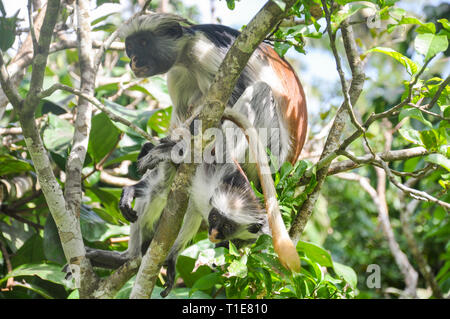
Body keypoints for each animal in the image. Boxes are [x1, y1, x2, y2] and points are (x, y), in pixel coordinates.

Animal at [86, 12, 308, 298]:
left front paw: (167, 150)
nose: (134, 61)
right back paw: (128, 255)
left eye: (144, 43)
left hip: (270, 151)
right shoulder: (177, 73)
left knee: (257, 93)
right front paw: (142, 179)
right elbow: (183, 117)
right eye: (131, 47)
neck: (187, 54)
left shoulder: (209, 53)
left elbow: (227, 102)